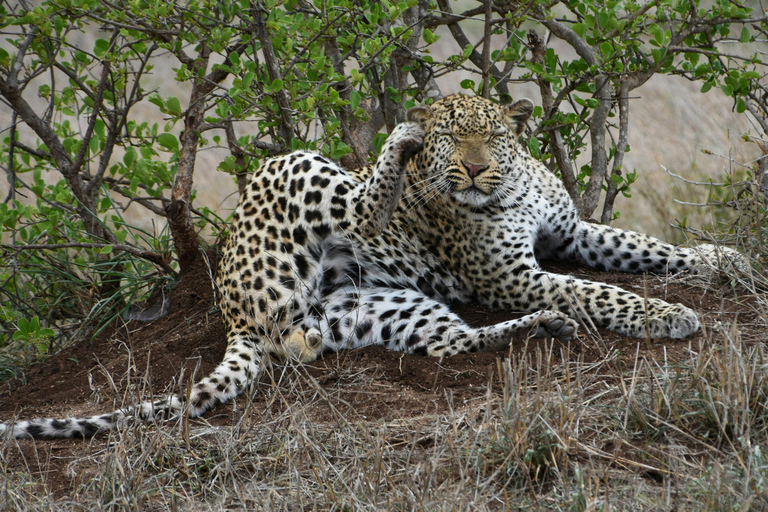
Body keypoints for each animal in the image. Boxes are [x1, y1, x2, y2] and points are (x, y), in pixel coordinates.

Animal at [1, 94, 741, 439]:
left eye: (490, 135)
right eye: (453, 137)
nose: (473, 170)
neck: (513, 187)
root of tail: (235, 310)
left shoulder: (568, 233)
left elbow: (640, 246)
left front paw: (721, 258)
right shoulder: (511, 274)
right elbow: (598, 292)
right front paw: (667, 314)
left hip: (380, 308)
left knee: (450, 344)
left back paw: (543, 327)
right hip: (298, 170)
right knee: (360, 205)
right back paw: (398, 138)